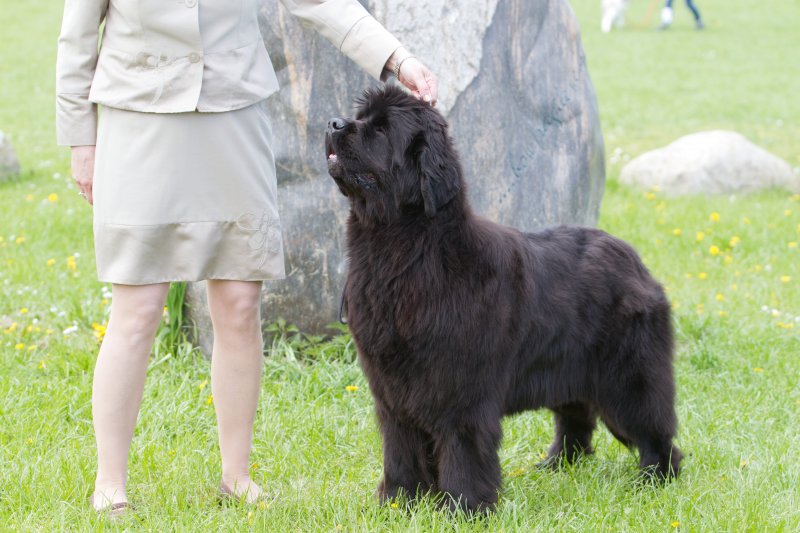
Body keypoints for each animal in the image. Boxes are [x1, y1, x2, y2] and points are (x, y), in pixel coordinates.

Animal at [325, 85, 681, 513]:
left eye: (381, 129)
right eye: (361, 117)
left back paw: (656, 477)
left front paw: (463, 507)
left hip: (628, 376)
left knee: (652, 426)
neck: (409, 251)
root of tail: (634, 259)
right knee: (575, 418)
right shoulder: (392, 391)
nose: (333, 123)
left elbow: (462, 448)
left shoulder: (461, 391)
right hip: (569, 368)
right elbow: (400, 447)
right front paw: (398, 503)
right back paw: (557, 465)